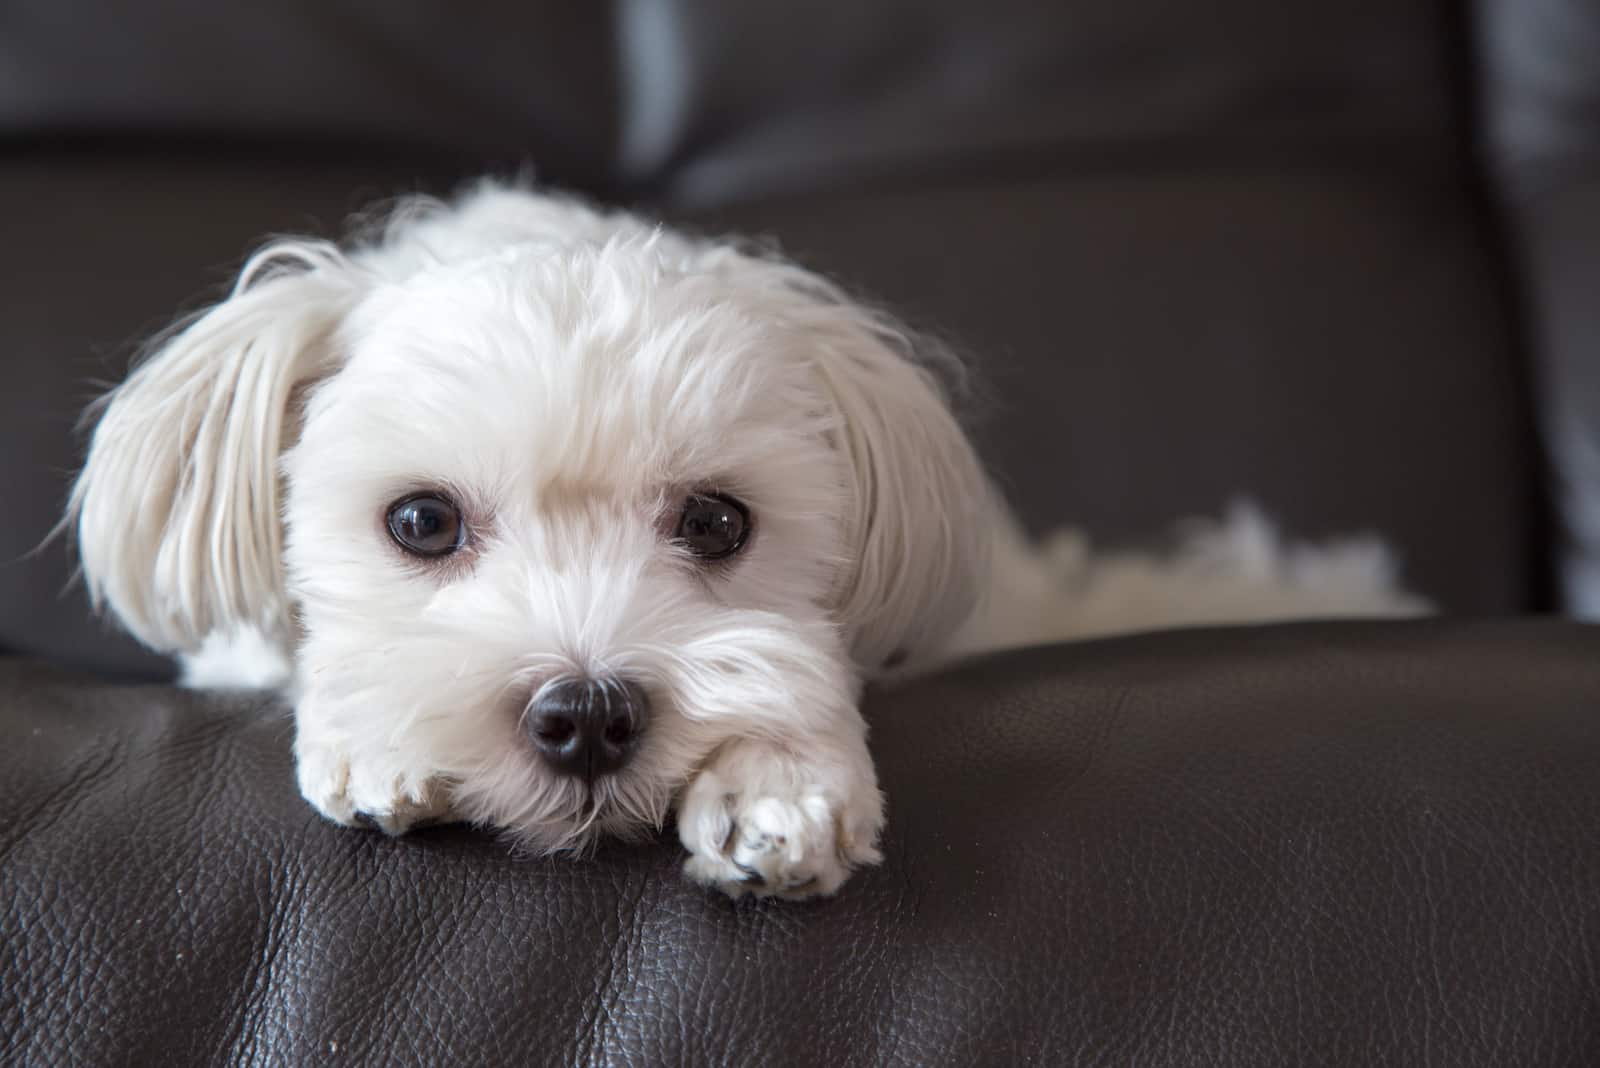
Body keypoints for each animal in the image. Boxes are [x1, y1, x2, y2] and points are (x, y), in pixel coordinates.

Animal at [65, 179, 1427, 895]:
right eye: (420, 523)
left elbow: (787, 675)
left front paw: (775, 783)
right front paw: (377, 741)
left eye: (719, 522)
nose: (587, 717)